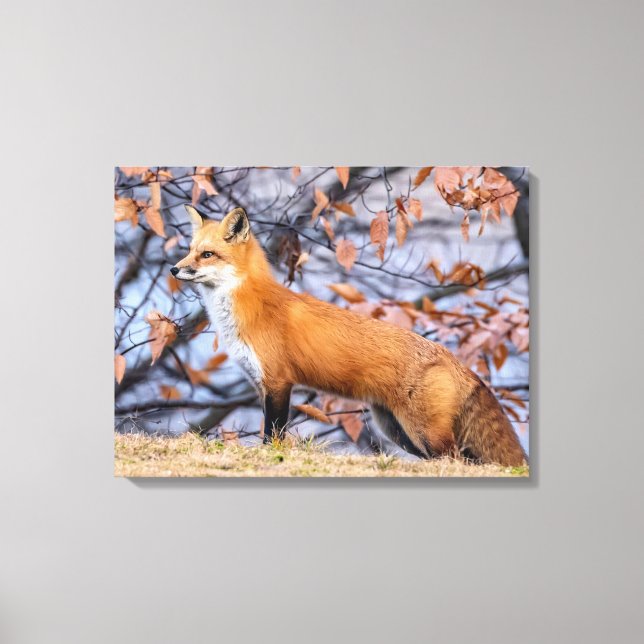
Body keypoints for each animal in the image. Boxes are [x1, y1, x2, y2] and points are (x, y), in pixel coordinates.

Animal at [171, 204, 527, 467]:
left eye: (207, 254)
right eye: (189, 250)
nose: (174, 269)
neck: (248, 306)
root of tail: (457, 361)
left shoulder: (278, 382)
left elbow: (273, 435)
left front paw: (271, 458)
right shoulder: (261, 384)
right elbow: (270, 430)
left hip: (424, 431)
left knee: (454, 460)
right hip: (398, 431)